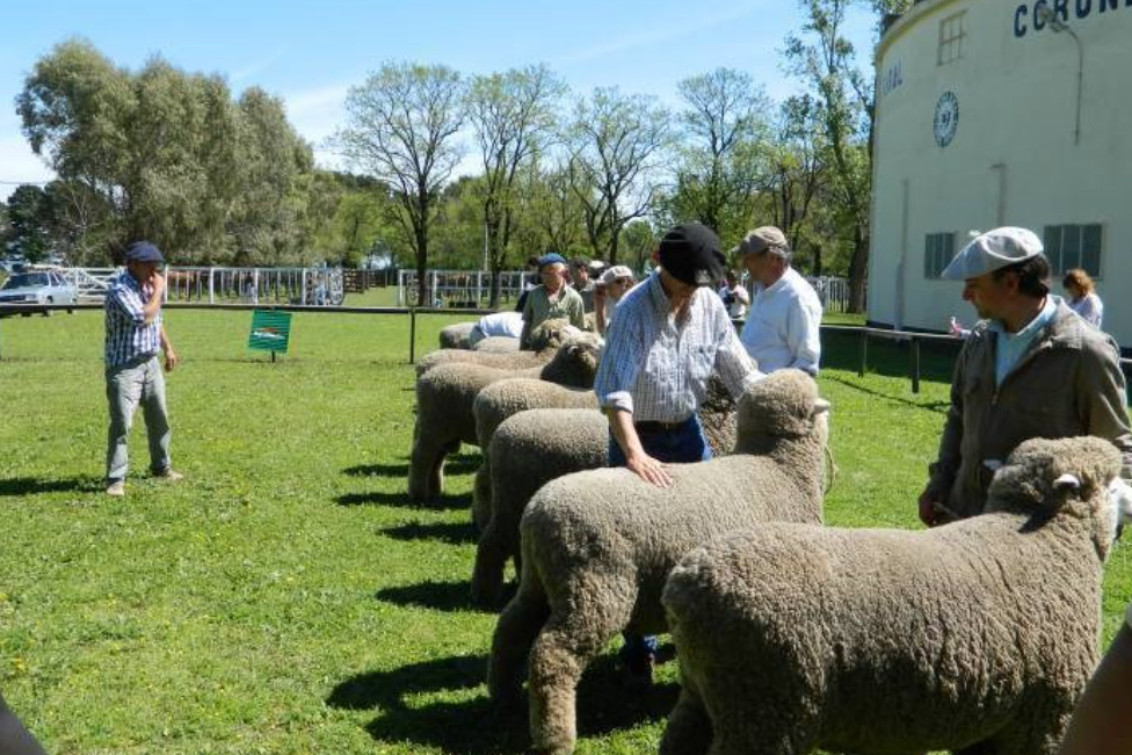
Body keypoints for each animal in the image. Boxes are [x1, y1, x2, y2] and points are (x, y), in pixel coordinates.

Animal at [405, 332, 602, 504]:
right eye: (594, 346)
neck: (556, 375)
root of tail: (425, 376)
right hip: (433, 426)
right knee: (422, 456)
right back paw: (419, 494)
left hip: (445, 430)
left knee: (437, 458)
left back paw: (434, 490)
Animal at [661, 434, 1127, 755]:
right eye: (1112, 482)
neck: (1050, 542)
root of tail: (686, 581)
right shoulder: (1045, 716)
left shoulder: (994, 715)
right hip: (767, 708)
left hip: (708, 693)